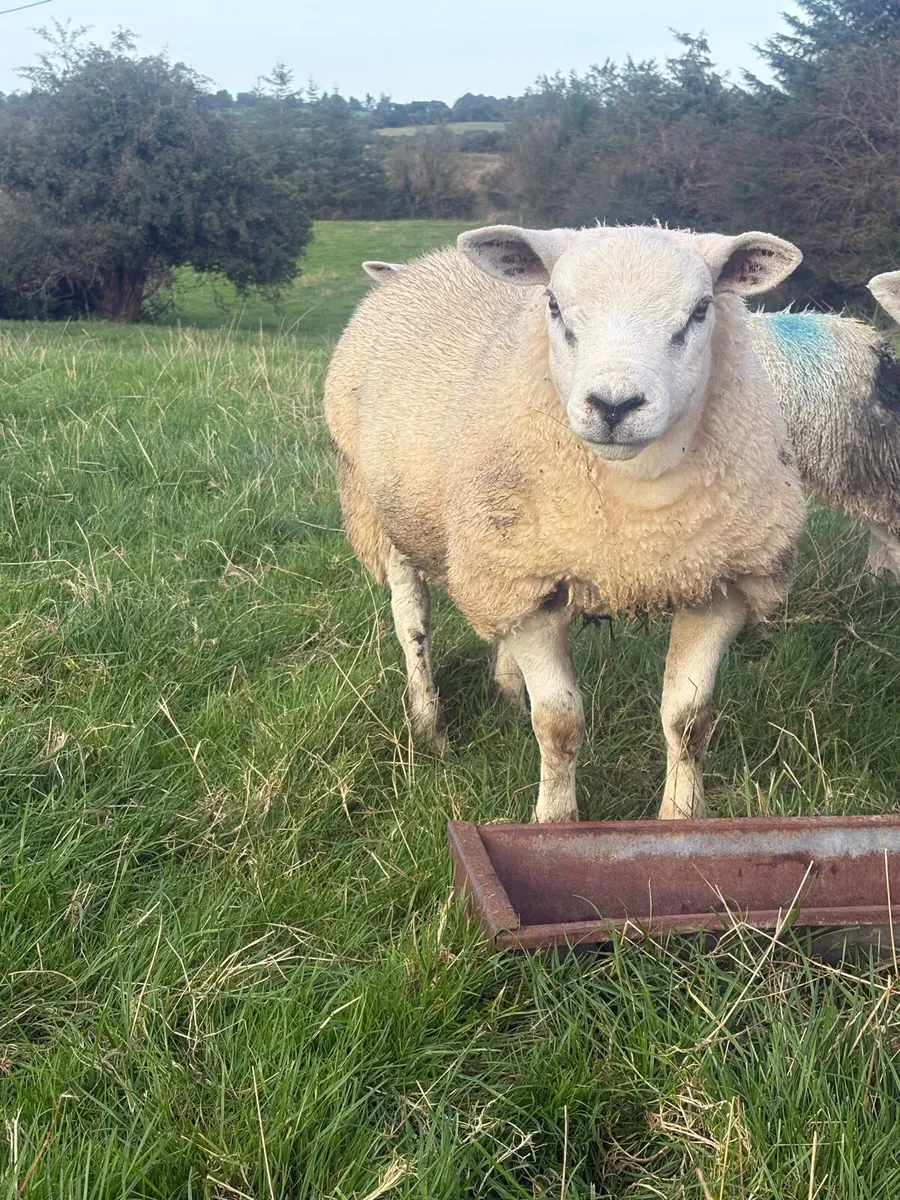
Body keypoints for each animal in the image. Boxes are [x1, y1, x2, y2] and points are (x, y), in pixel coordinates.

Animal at [326, 224, 805, 822]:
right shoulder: (530, 582)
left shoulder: (721, 582)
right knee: (413, 625)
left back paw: (507, 690)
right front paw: (554, 819)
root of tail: (427, 262)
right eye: (552, 305)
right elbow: (558, 723)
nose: (615, 405)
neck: (637, 519)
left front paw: (682, 816)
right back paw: (429, 725)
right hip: (386, 514)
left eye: (700, 310)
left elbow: (689, 718)